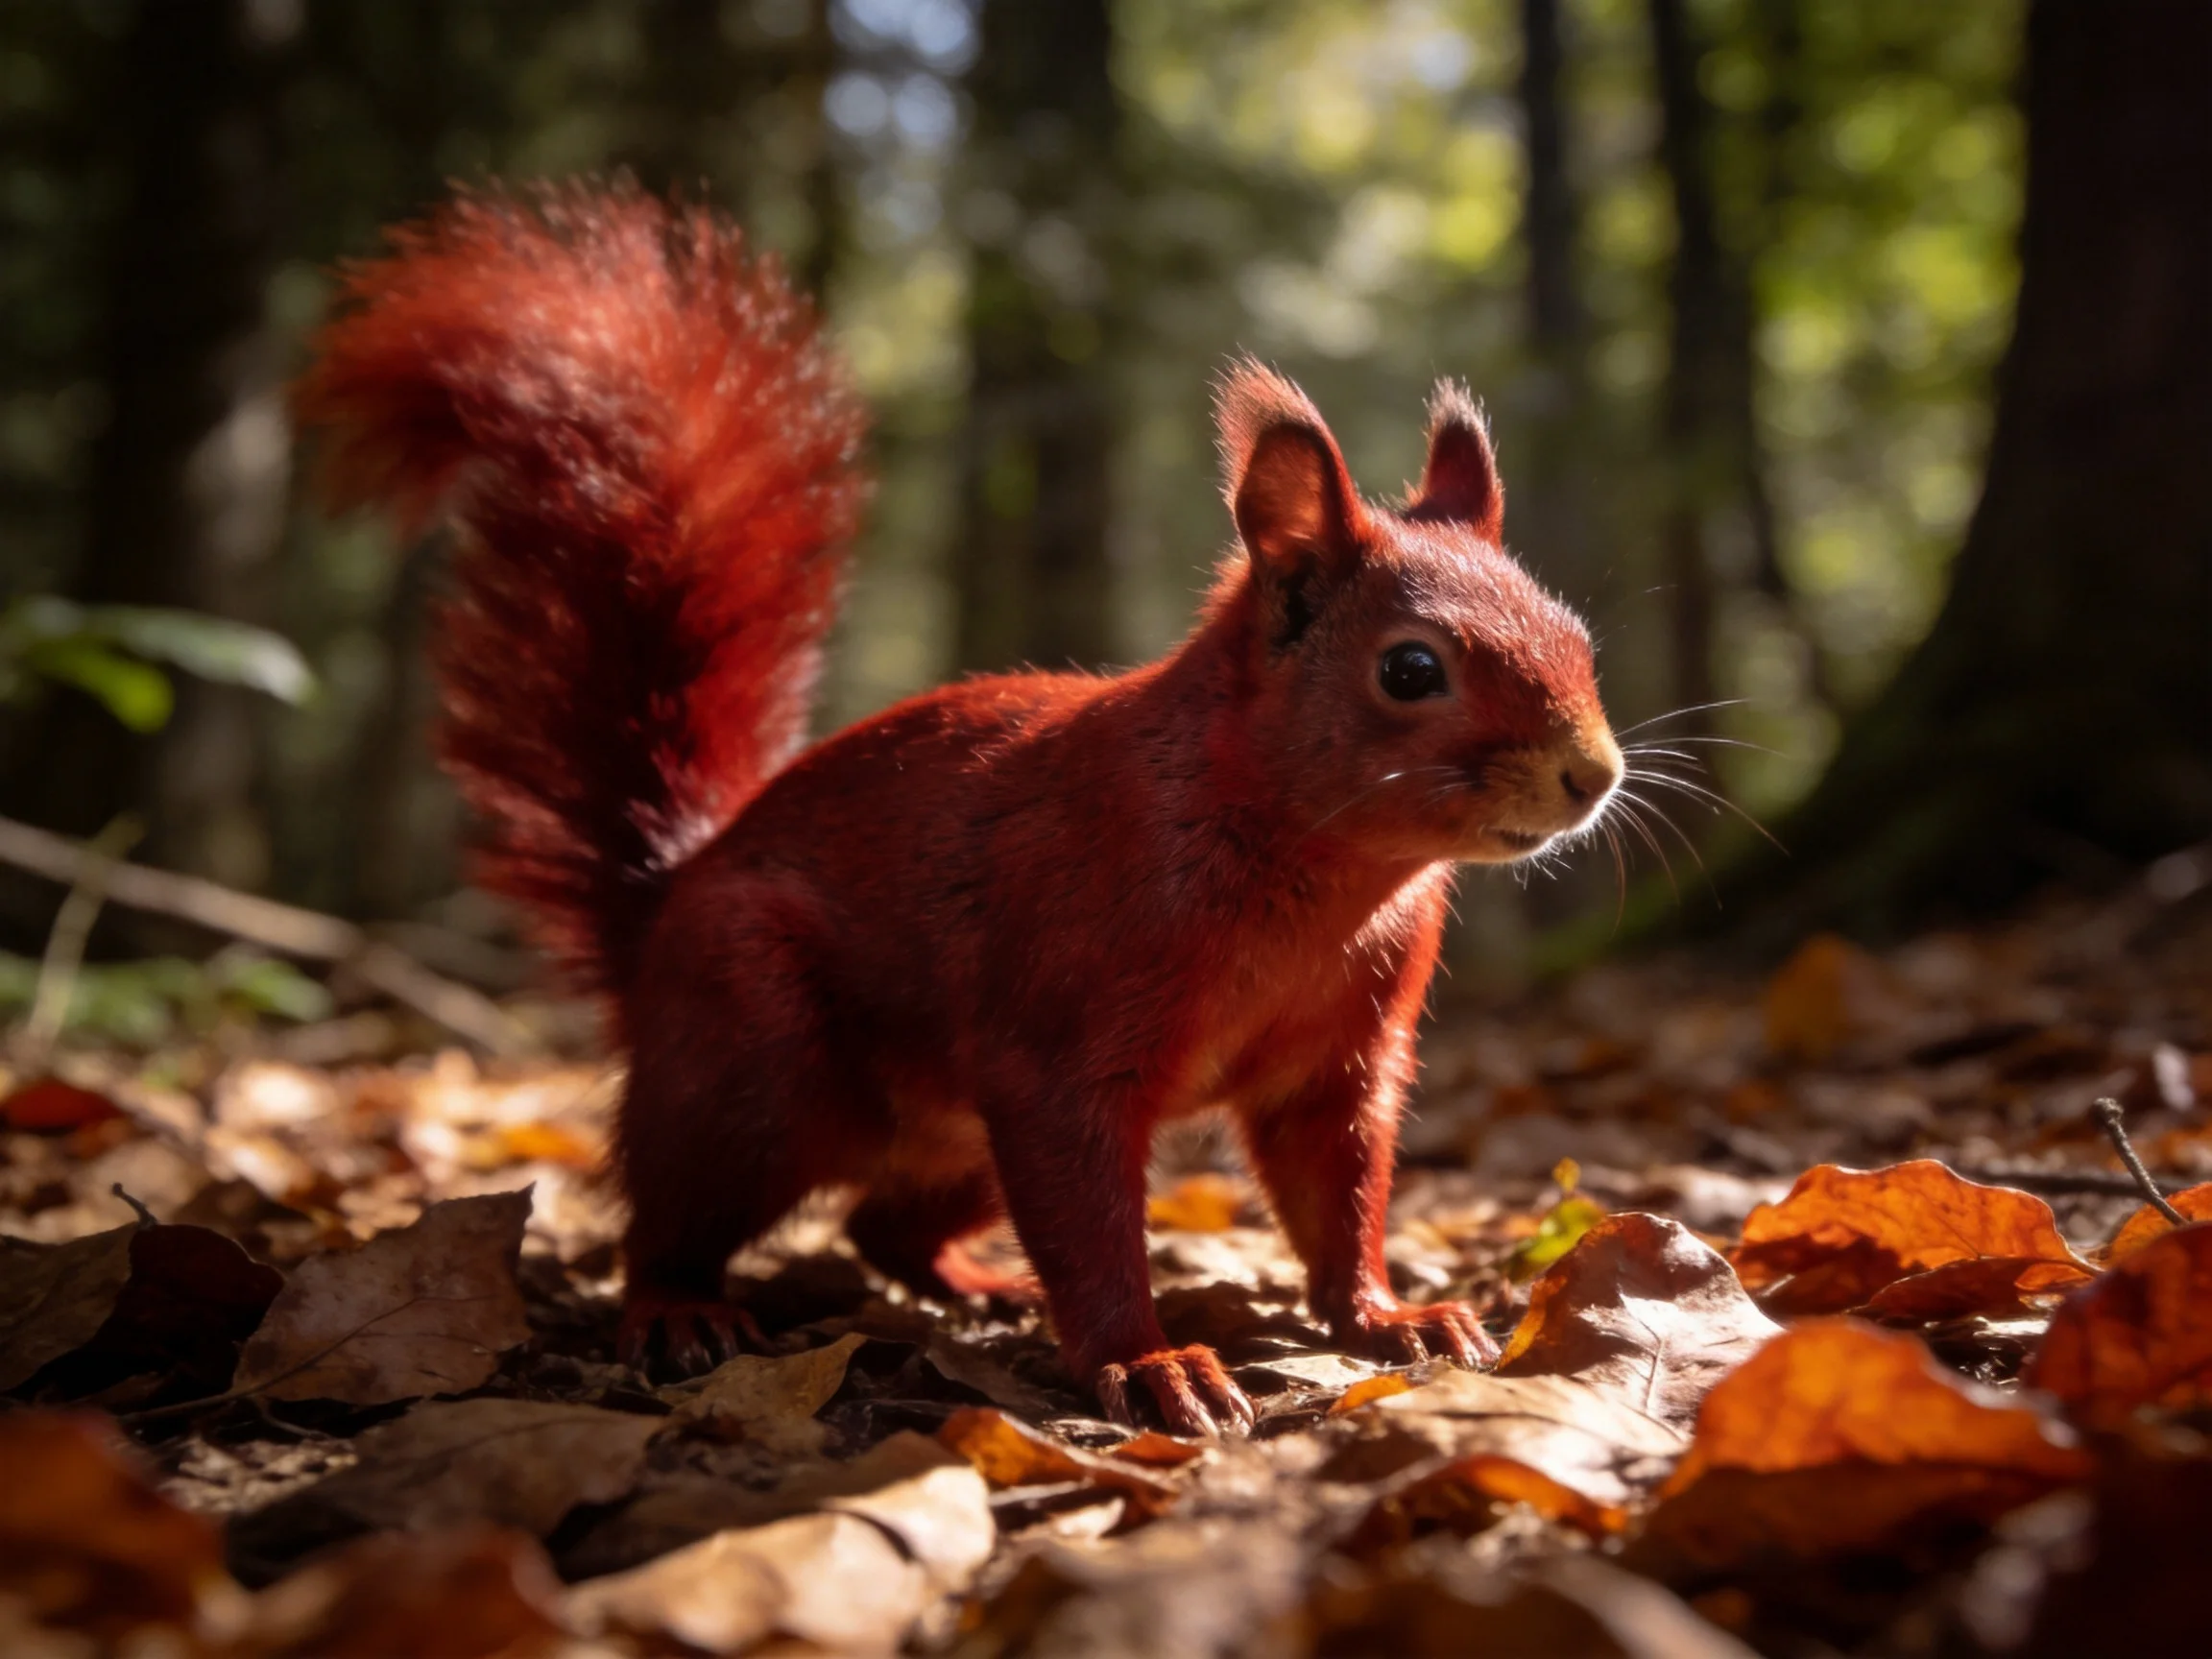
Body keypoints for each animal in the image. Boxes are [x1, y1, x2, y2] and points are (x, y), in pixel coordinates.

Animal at [297, 185, 1624, 1435]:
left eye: (1579, 634)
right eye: (1410, 670)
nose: (1594, 774)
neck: (1321, 868)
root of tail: (664, 903)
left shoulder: (1343, 1061)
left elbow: (1338, 1197)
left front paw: (1389, 1317)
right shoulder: (1060, 1038)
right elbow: (1091, 1219)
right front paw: (1151, 1365)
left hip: (953, 1144)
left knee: (881, 1229)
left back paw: (976, 1286)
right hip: (751, 1059)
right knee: (674, 1209)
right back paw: (680, 1310)